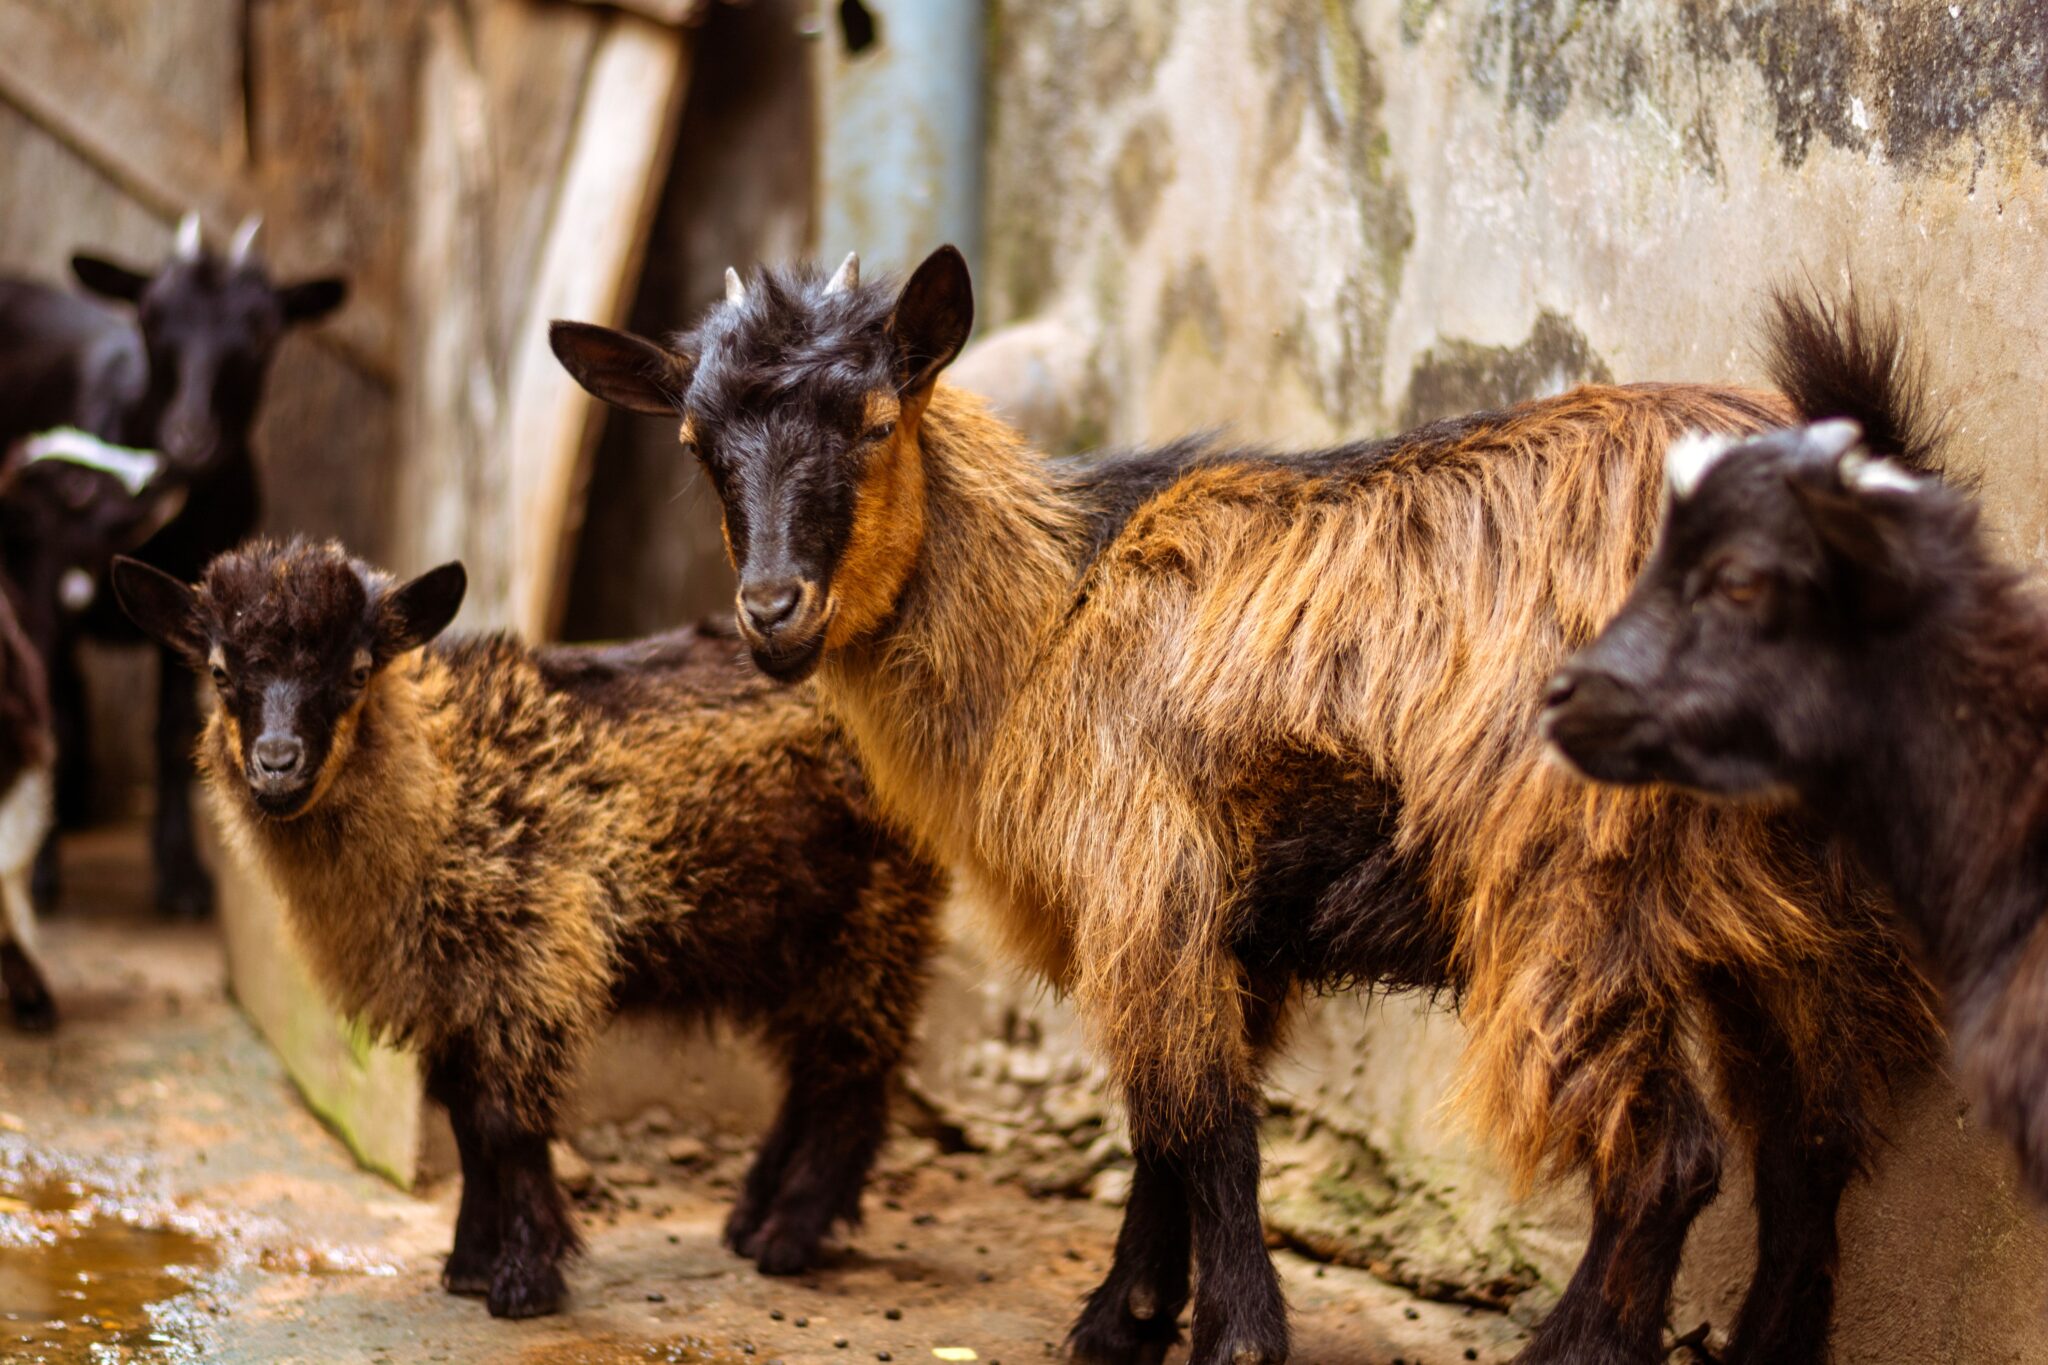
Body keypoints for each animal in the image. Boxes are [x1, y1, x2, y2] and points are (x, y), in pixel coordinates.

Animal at [0, 212, 348, 918]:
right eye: (152, 317)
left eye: (263, 328)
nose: (190, 440)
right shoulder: (44, 580)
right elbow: (52, 711)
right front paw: (43, 876)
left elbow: (170, 731)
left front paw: (182, 875)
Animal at [111, 539, 943, 1319]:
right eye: (221, 673)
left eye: (357, 670)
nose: (277, 763)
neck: (447, 782)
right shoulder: (451, 993)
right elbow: (467, 1129)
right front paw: (468, 1265)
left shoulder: (531, 961)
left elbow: (505, 1125)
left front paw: (524, 1279)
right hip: (792, 934)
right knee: (814, 1069)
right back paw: (752, 1216)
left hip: (874, 911)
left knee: (851, 1071)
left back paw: (788, 1235)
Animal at [549, 252, 1940, 1365]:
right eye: (695, 446)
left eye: (876, 418)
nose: (772, 610)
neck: (1052, 612)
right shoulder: (1225, 928)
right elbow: (1168, 1126)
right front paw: (1123, 1319)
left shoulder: (1146, 874)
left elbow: (1201, 1124)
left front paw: (1223, 1337)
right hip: (1797, 907)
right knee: (1811, 1140)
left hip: (1572, 891)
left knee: (1667, 1157)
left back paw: (1570, 1351)